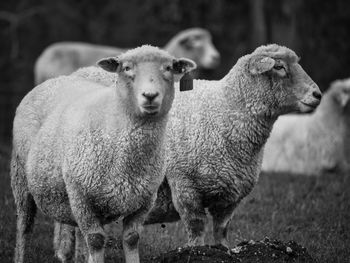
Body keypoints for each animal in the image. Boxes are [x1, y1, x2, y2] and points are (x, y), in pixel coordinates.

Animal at [10, 45, 197, 263]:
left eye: (168, 68)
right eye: (126, 68)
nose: (150, 96)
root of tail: (53, 80)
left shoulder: (144, 201)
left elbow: (132, 238)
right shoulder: (81, 196)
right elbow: (96, 240)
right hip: (21, 177)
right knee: (24, 225)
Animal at [55, 43, 322, 258]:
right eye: (279, 67)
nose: (317, 94)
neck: (226, 110)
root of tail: (78, 72)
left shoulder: (231, 195)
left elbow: (222, 231)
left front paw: (223, 251)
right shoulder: (184, 184)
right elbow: (196, 227)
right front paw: (197, 252)